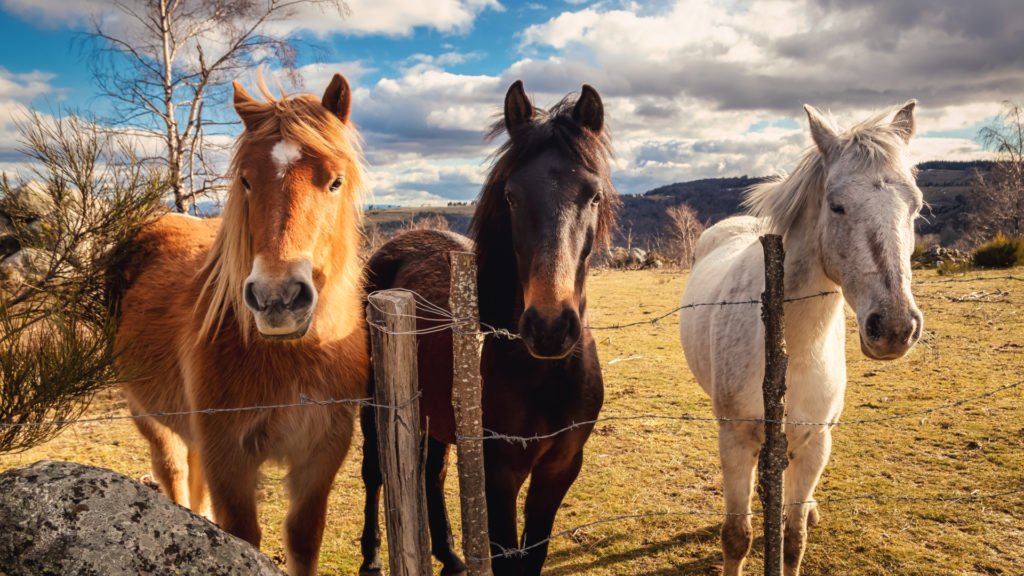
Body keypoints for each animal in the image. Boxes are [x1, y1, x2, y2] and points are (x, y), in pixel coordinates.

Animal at [113, 75, 368, 573]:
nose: (277, 298)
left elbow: (303, 538)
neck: (293, 356)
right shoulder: (228, 458)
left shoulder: (322, 453)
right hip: (145, 414)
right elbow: (243, 537)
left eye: (335, 181)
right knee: (174, 473)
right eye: (246, 180)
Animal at [360, 80, 614, 573]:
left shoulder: (560, 468)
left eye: (592, 195)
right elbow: (505, 555)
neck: (542, 374)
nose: (550, 327)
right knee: (375, 471)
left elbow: (533, 555)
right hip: (371, 398)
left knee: (432, 470)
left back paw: (449, 554)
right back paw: (372, 557)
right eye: (512, 197)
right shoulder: (500, 471)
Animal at [684, 100, 925, 569]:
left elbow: (793, 538)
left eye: (916, 206)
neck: (787, 345)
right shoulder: (735, 440)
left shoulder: (816, 442)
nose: (894, 328)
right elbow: (736, 537)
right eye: (836, 206)